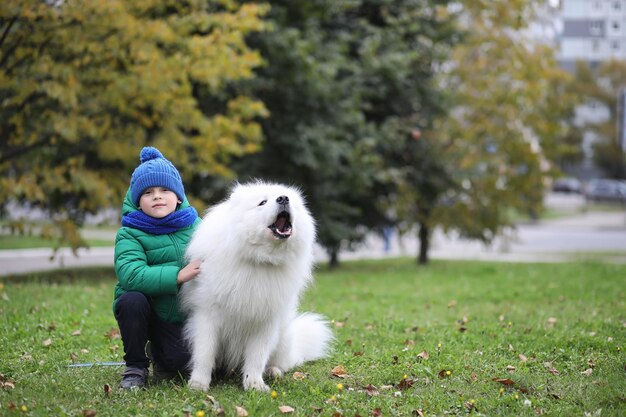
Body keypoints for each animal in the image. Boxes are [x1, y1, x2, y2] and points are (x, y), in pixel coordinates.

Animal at [179, 180, 332, 390]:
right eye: (262, 202)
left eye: (289, 200)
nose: (283, 199)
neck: (259, 260)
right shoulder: (207, 316)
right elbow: (204, 353)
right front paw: (198, 384)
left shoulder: (265, 321)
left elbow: (257, 357)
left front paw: (254, 384)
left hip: (283, 337)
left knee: (281, 362)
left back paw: (274, 371)